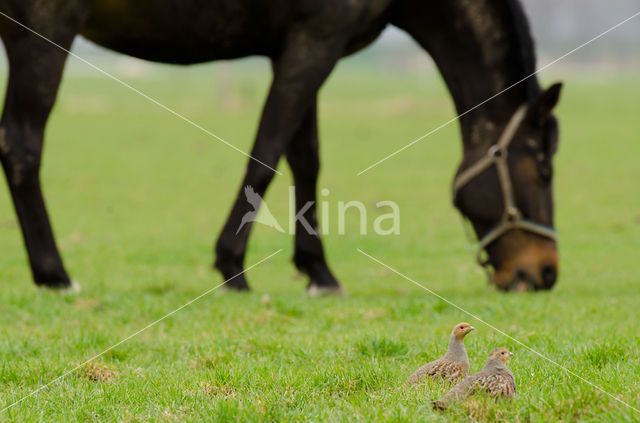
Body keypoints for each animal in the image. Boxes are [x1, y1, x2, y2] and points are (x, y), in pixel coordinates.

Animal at [0, 0, 560, 292]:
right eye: (544, 168)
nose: (545, 270)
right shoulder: (316, 43)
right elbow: (266, 156)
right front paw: (232, 266)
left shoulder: (294, 49)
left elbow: (305, 160)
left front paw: (318, 270)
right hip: (45, 30)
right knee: (21, 145)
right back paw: (54, 274)